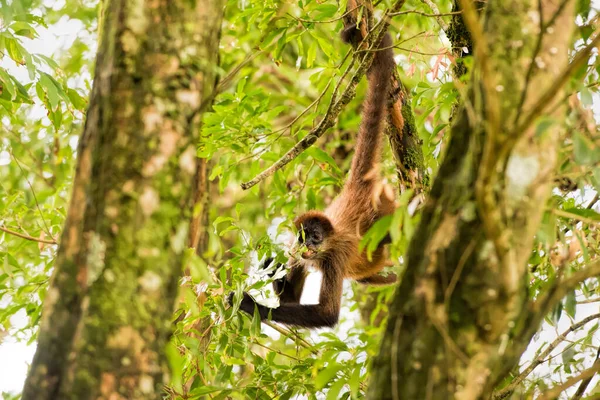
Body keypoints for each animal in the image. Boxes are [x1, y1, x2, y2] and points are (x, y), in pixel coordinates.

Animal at [231, 23, 398, 328]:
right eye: (302, 237)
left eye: (316, 237)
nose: (308, 244)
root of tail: (356, 189)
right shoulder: (295, 250)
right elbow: (290, 298)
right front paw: (270, 267)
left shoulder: (335, 256)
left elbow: (327, 313)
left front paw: (250, 305)